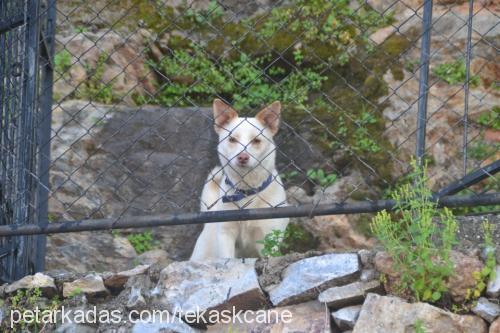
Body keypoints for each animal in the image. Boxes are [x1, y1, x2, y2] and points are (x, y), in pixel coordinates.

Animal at [190, 97, 290, 258]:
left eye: (256, 141)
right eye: (232, 139)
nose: (242, 157)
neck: (246, 190)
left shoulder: (269, 237)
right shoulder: (226, 234)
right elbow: (227, 259)